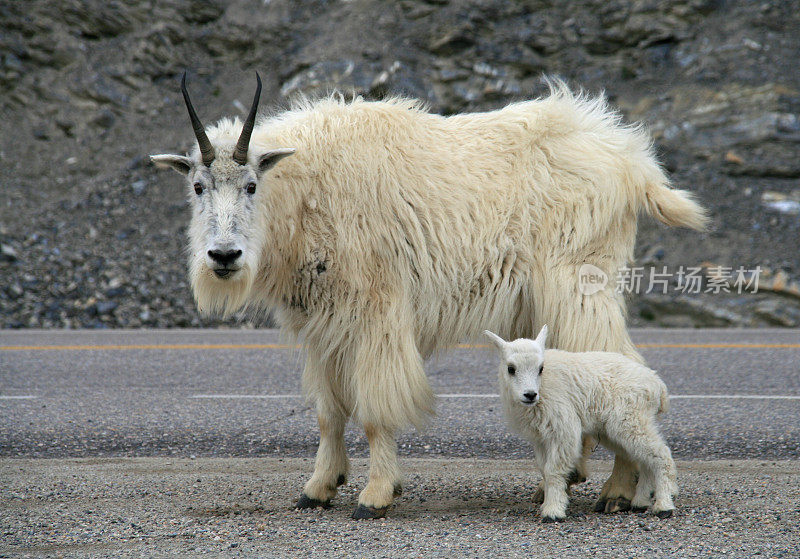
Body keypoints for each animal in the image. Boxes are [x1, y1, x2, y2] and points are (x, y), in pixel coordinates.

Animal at [152, 73, 708, 520]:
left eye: (250, 184)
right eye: (198, 186)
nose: (224, 256)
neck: (304, 191)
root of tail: (632, 160)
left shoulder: (376, 314)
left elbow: (374, 411)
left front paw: (376, 495)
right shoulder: (322, 326)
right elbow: (328, 412)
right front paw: (318, 488)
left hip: (579, 284)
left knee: (618, 366)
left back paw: (619, 490)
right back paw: (573, 479)